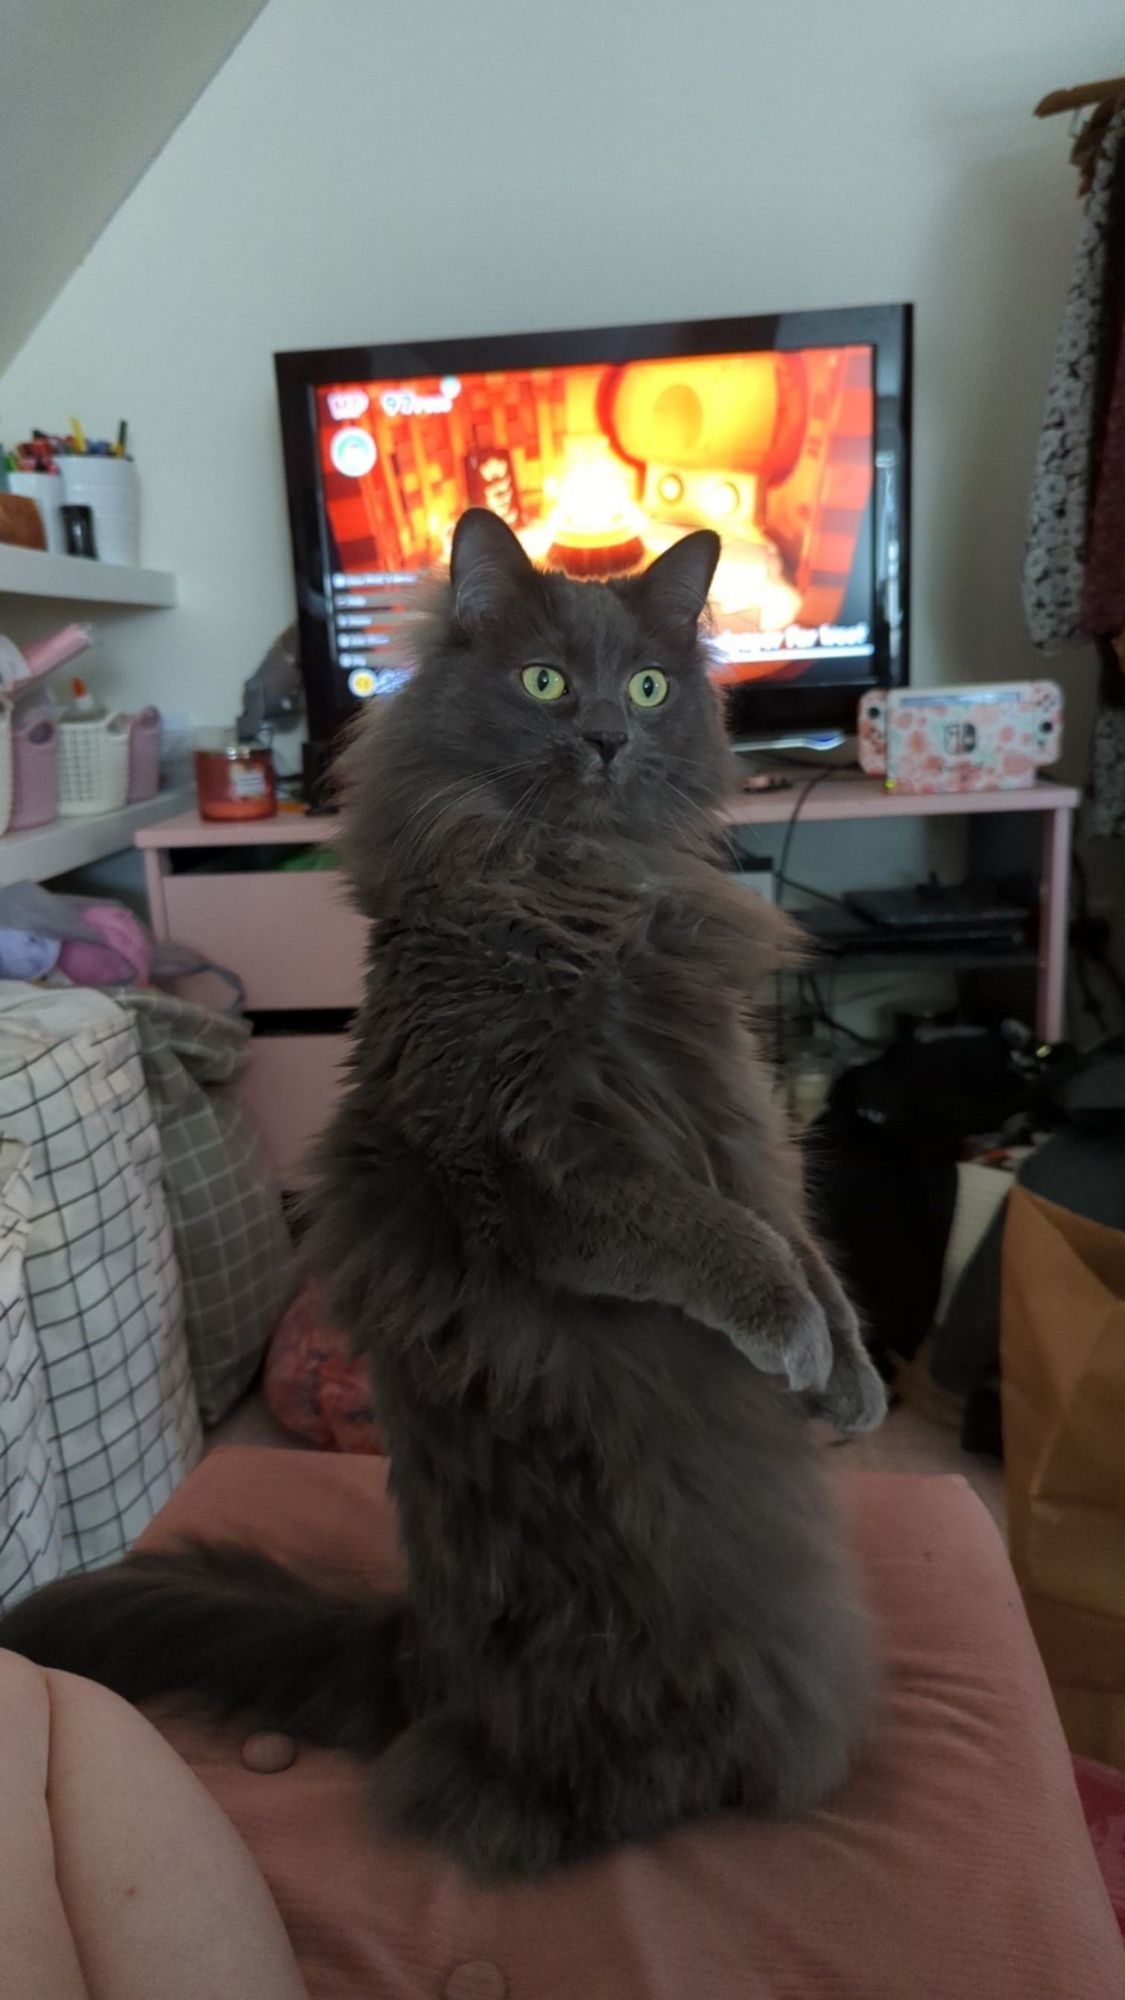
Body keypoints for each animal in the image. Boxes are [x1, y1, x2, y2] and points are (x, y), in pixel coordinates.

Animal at [0, 508, 880, 1880]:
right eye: (546, 681)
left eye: (648, 686)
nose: (608, 737)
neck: (581, 882)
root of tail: (419, 1661)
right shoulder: (520, 1167)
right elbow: (719, 1241)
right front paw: (788, 1333)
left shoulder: (730, 1103)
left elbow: (796, 1238)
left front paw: (850, 1376)